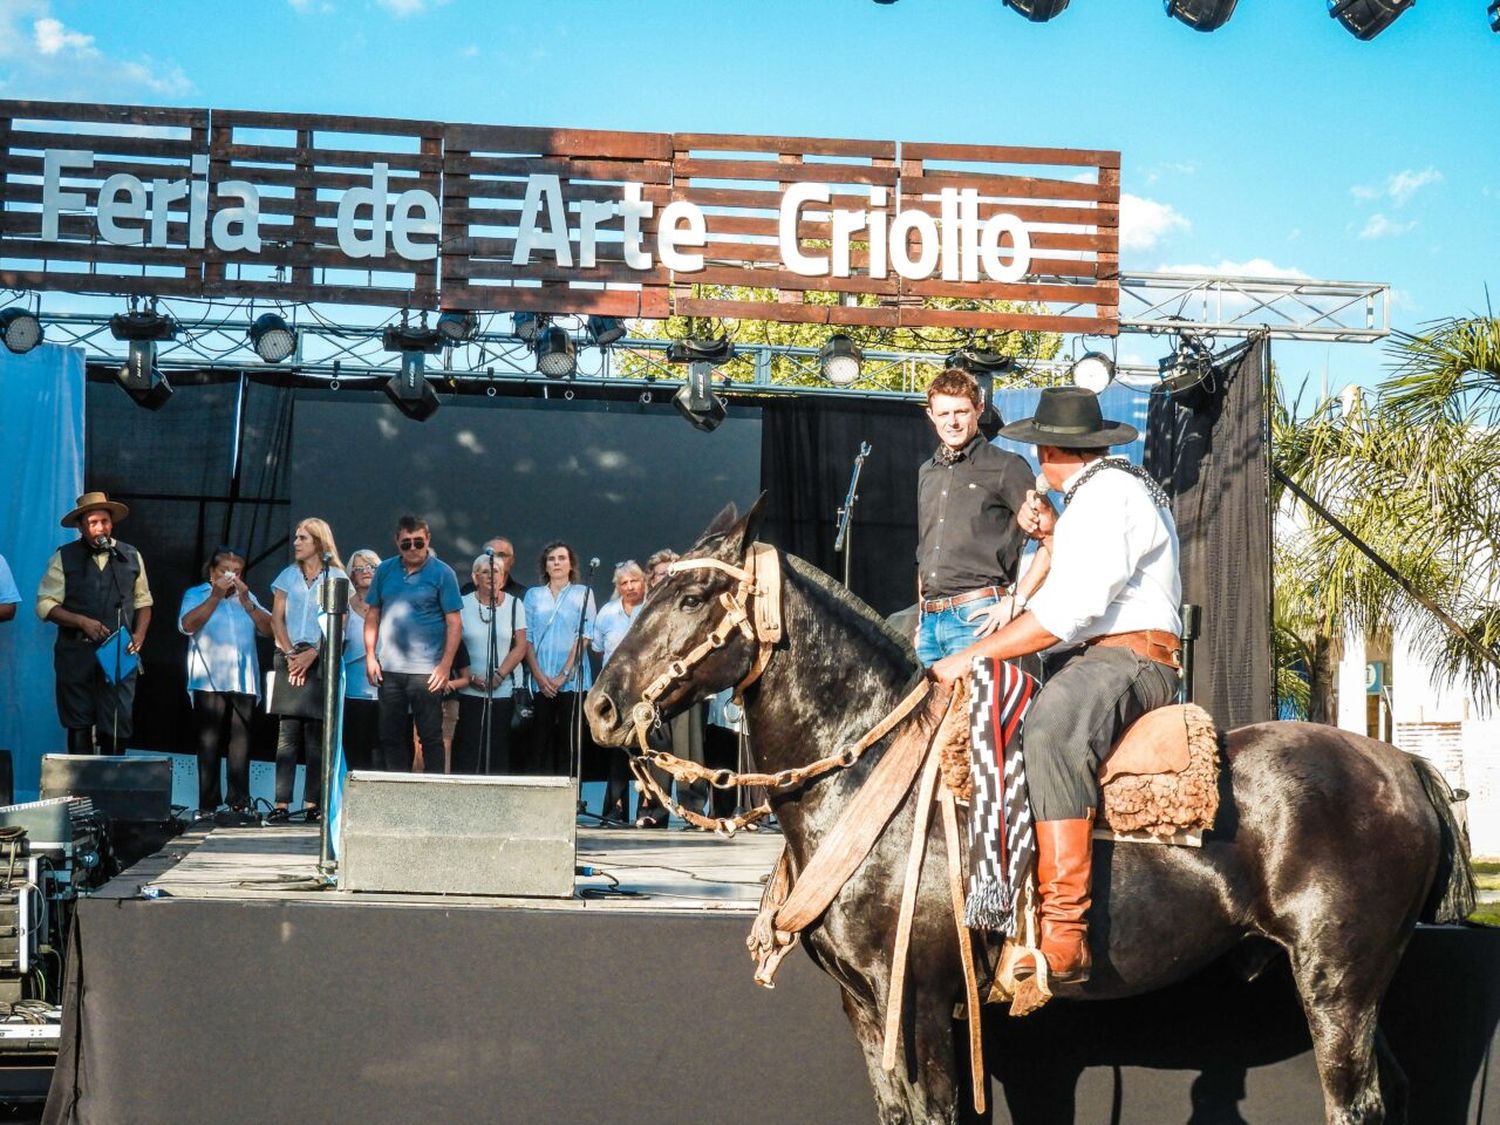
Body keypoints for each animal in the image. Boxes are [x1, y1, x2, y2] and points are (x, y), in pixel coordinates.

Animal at [579, 504, 1470, 1125]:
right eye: (653, 587)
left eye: (694, 594)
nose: (602, 705)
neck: (868, 770)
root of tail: (1405, 764)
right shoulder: (865, 1004)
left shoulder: (923, 999)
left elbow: (935, 1113)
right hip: (1361, 985)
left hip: (1337, 982)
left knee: (1355, 1102)